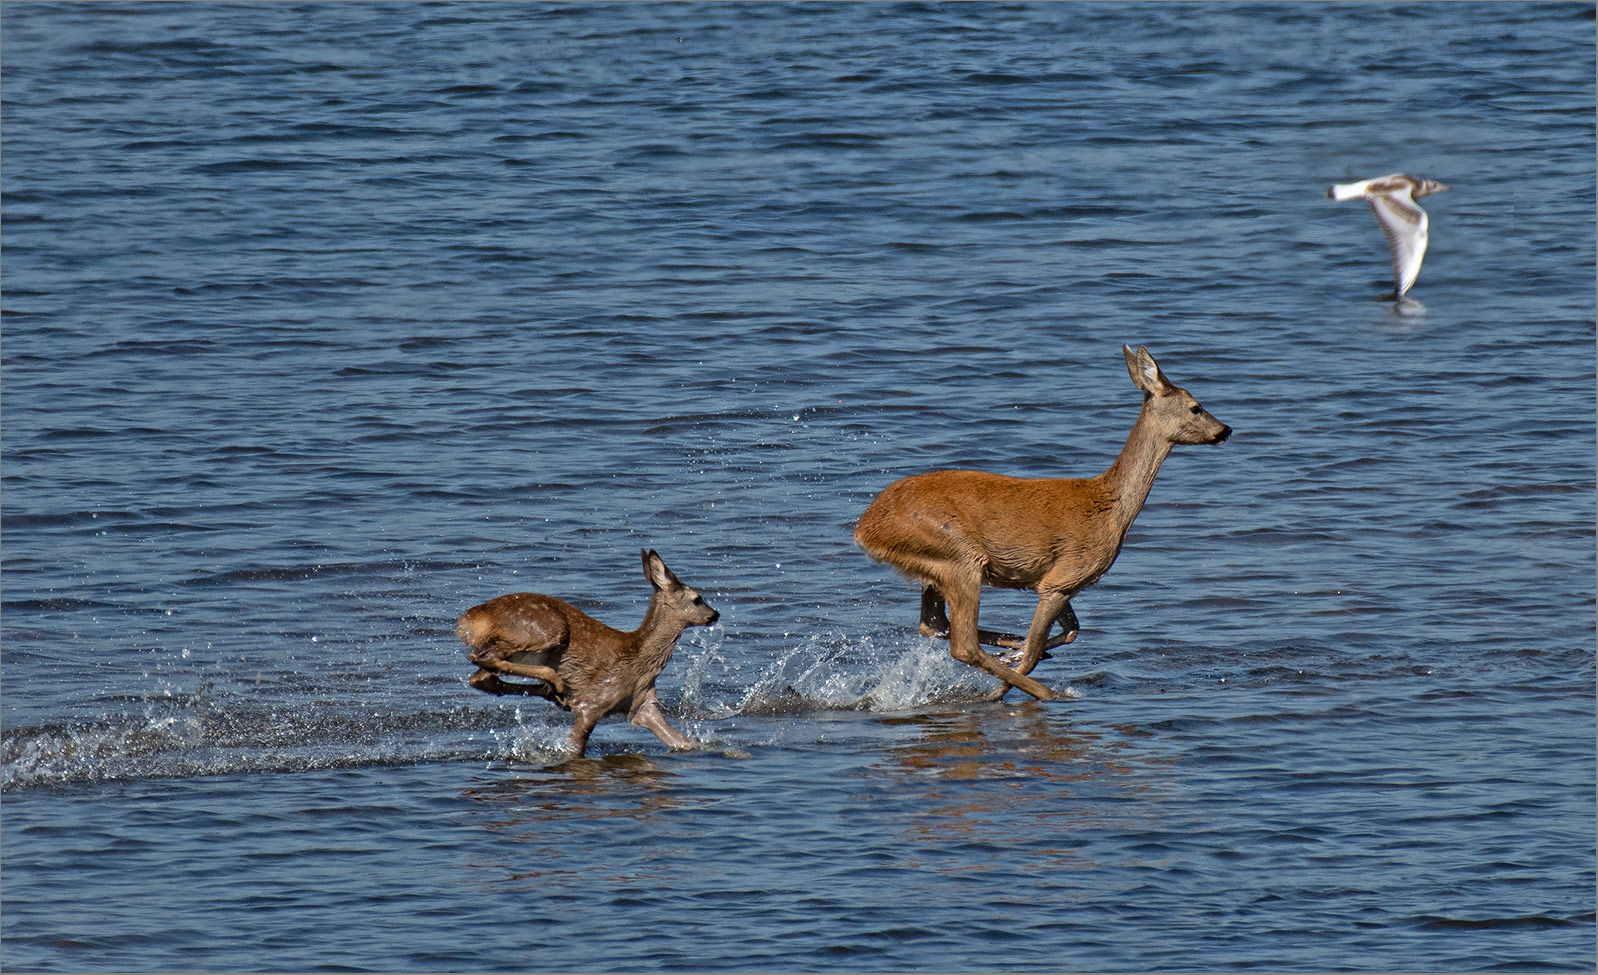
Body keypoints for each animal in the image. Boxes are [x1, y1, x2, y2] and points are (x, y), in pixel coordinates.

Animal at [457, 546, 719, 751]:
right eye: (698, 598)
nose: (715, 614)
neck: (639, 661)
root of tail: (470, 620)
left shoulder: (642, 704)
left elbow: (684, 742)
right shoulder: (593, 704)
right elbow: (573, 748)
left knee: (481, 678)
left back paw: (554, 692)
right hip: (545, 630)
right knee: (479, 659)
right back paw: (556, 684)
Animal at [856, 345, 1227, 703]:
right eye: (1196, 407)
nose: (1225, 429)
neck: (1111, 508)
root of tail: (864, 529)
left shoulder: (1063, 582)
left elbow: (1071, 631)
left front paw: (1014, 656)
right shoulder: (1060, 579)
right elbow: (1038, 649)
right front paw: (1003, 685)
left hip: (933, 568)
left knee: (932, 624)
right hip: (959, 556)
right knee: (963, 643)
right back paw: (1043, 691)